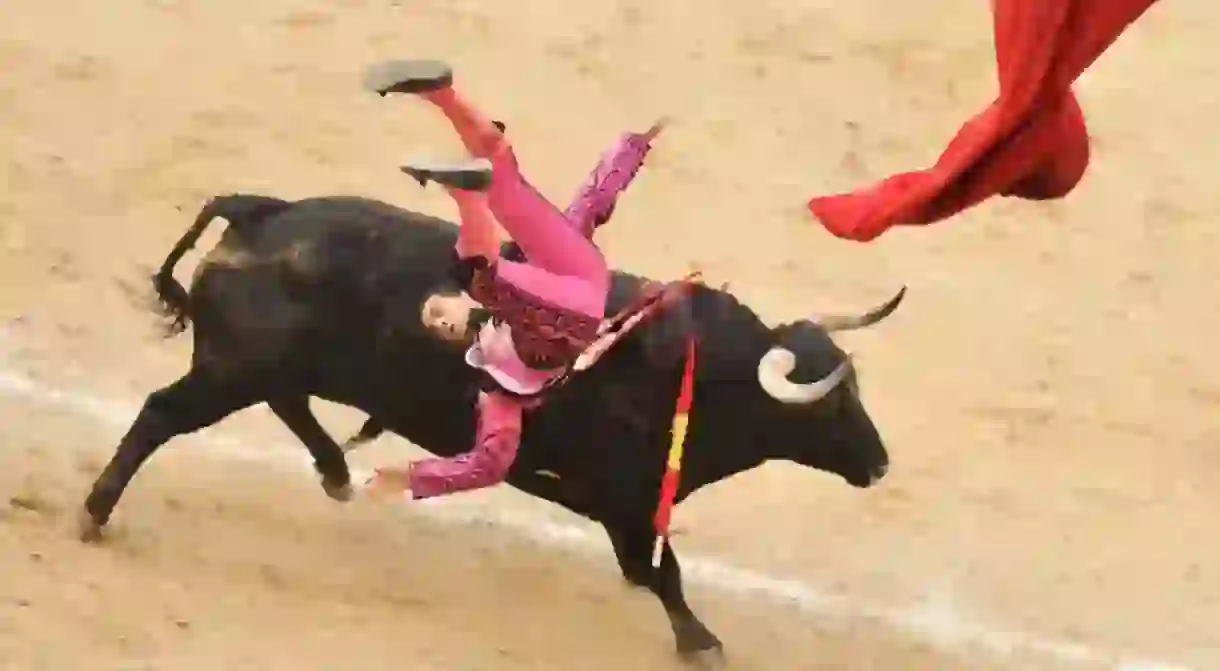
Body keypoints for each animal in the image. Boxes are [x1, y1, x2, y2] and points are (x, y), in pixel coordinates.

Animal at [81, 192, 907, 663]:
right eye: (831, 402)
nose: (879, 463)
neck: (701, 371)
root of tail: (263, 209)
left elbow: (655, 569)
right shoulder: (624, 501)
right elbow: (660, 572)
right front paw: (701, 641)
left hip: (261, 368)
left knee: (287, 403)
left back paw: (338, 473)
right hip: (230, 370)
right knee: (161, 414)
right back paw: (95, 513)